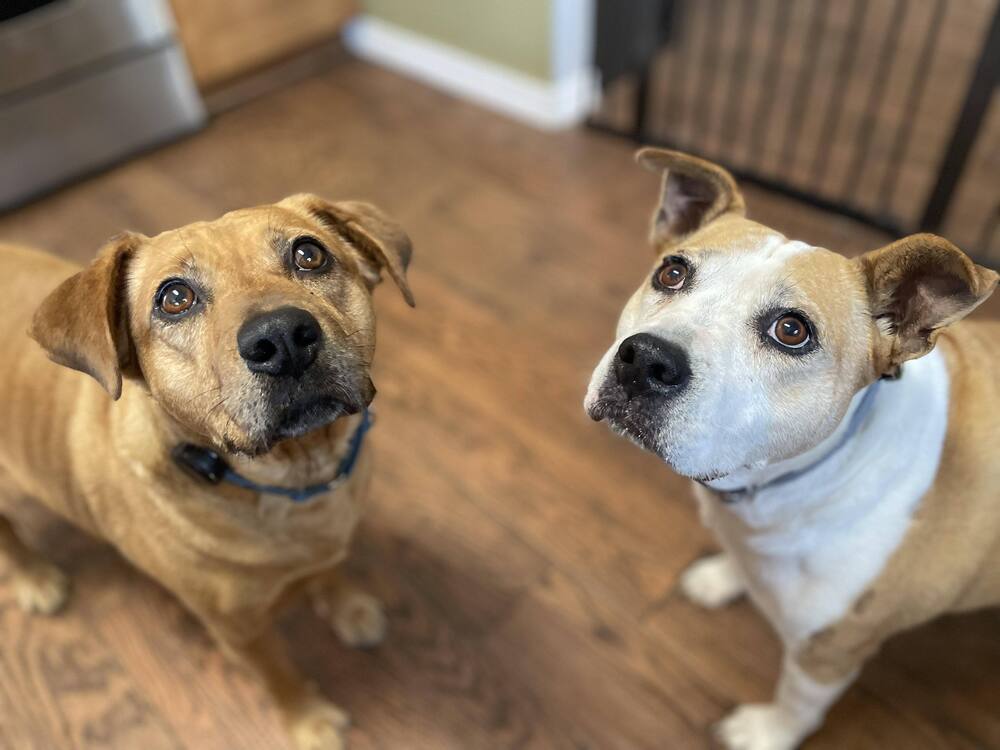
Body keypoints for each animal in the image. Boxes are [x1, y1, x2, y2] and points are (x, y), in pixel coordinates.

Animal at [0, 195, 414, 750]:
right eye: (175, 298)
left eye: (310, 254)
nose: (282, 337)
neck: (297, 475)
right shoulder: (239, 631)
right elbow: (279, 675)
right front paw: (309, 721)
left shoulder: (331, 542)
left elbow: (332, 569)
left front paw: (348, 609)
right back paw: (34, 578)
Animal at [584, 148, 1000, 750]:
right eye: (672, 272)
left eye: (791, 331)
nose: (645, 360)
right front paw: (724, 576)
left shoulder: (830, 651)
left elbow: (798, 704)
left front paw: (766, 732)